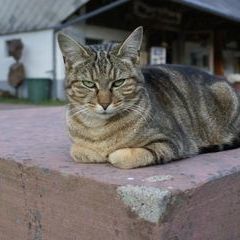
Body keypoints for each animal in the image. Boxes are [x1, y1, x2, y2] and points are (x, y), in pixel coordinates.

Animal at [57, 26, 240, 169]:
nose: (104, 104)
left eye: (118, 82)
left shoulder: (172, 142)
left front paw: (112, 154)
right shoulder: (78, 146)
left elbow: (123, 156)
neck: (99, 129)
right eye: (88, 83)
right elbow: (77, 150)